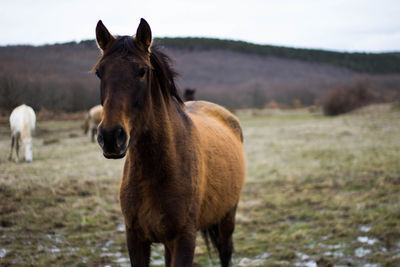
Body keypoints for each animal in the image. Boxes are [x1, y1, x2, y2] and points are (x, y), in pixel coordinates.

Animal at [93, 18, 245, 267]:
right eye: (99, 72)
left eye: (142, 71)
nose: (110, 137)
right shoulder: (135, 238)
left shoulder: (184, 238)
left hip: (227, 217)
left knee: (226, 252)